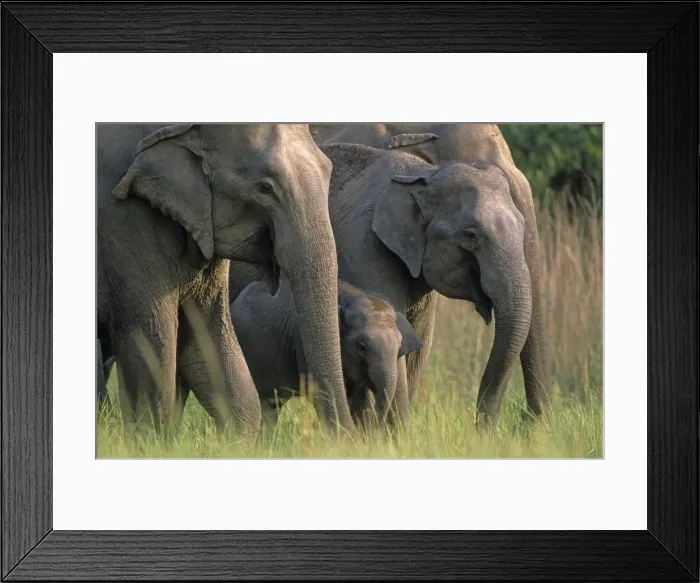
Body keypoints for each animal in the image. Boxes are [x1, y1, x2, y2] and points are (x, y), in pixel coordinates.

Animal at [97, 124, 356, 438]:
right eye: (265, 188)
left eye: (328, 170)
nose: (348, 440)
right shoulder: (126, 224)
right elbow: (152, 342)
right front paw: (153, 443)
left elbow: (206, 338)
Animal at [230, 277, 422, 431]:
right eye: (361, 347)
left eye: (399, 347)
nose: (375, 431)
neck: (351, 296)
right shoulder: (302, 340)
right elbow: (317, 391)